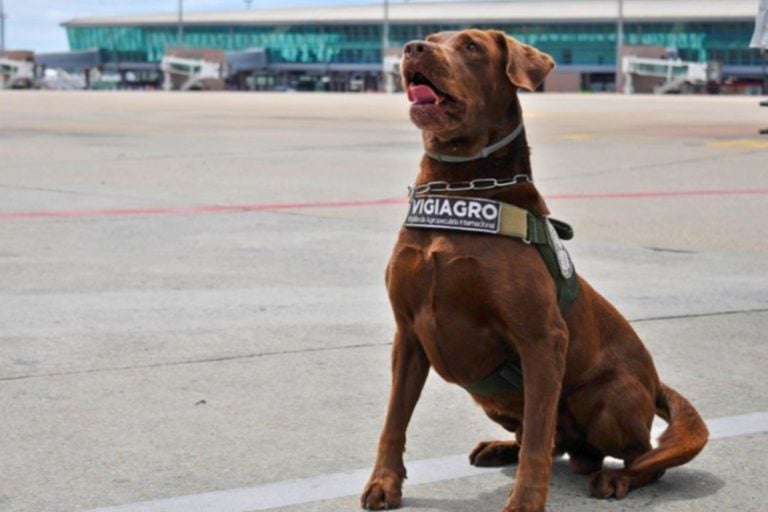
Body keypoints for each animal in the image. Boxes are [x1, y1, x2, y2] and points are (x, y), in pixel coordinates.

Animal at [360, 31, 708, 512]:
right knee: (553, 442)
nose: (412, 48)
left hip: (606, 397)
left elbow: (539, 440)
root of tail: (656, 382)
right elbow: (395, 420)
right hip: (493, 399)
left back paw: (617, 478)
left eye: (471, 46)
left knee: (640, 455)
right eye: (431, 39)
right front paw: (384, 483)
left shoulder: (542, 339)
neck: (460, 186)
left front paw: (525, 501)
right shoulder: (409, 335)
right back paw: (501, 447)